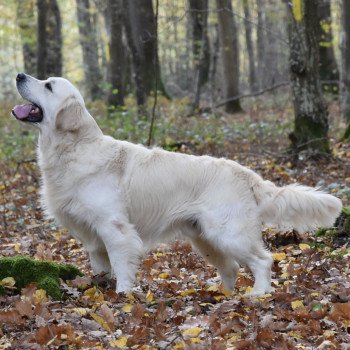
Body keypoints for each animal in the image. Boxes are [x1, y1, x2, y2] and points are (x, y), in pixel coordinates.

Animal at [12, 73, 344, 296]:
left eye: (48, 85)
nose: (19, 75)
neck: (74, 148)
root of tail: (247, 173)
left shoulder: (114, 228)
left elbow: (122, 265)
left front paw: (123, 295)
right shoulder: (93, 236)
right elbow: (100, 267)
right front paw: (99, 289)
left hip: (228, 233)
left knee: (263, 260)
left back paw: (258, 294)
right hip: (204, 238)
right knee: (232, 268)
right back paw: (224, 295)